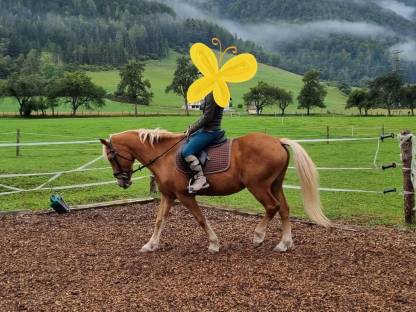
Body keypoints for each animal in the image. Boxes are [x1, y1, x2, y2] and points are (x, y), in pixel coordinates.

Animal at [99, 129, 330, 254]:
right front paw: (150, 245)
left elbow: (201, 219)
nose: (122, 182)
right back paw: (284, 244)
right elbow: (159, 221)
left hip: (259, 186)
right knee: (284, 209)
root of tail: (277, 141)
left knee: (272, 207)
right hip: (275, 185)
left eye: (111, 156)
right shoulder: (168, 196)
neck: (164, 155)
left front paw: (214, 244)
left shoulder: (185, 196)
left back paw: (258, 236)